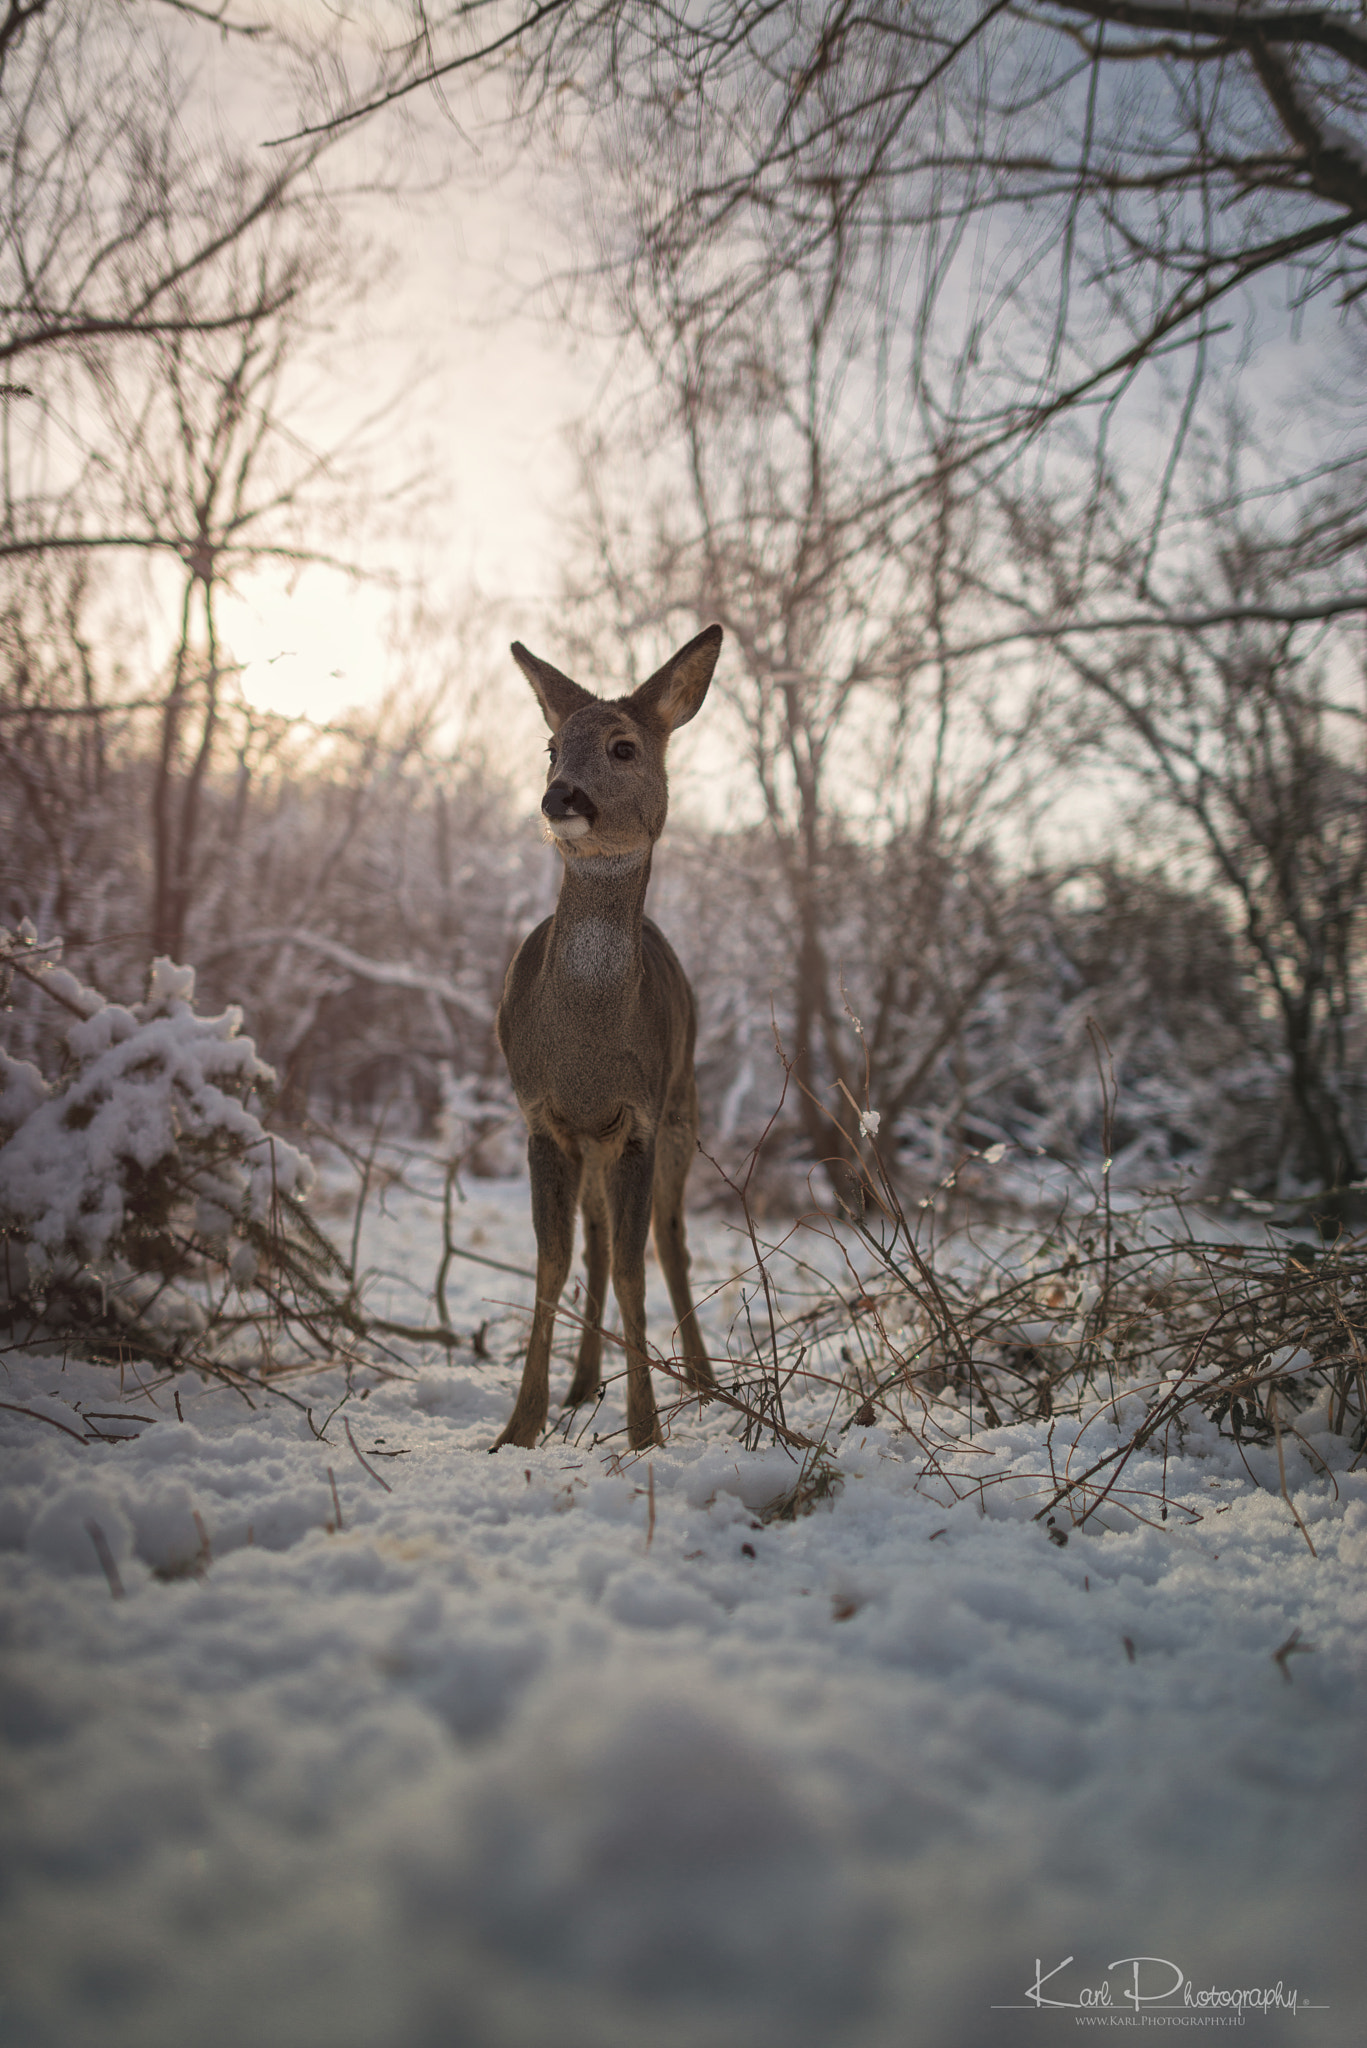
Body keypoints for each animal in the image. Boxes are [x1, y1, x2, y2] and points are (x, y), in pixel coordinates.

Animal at [491, 622, 725, 1458]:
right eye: (551, 746)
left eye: (623, 747)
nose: (560, 796)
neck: (587, 1044)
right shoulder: (541, 1114)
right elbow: (551, 1260)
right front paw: (518, 1427)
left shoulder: (638, 1116)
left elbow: (633, 1268)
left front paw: (646, 1431)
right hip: (593, 1145)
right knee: (593, 1243)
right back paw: (582, 1381)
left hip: (685, 1108)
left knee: (668, 1240)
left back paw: (703, 1382)